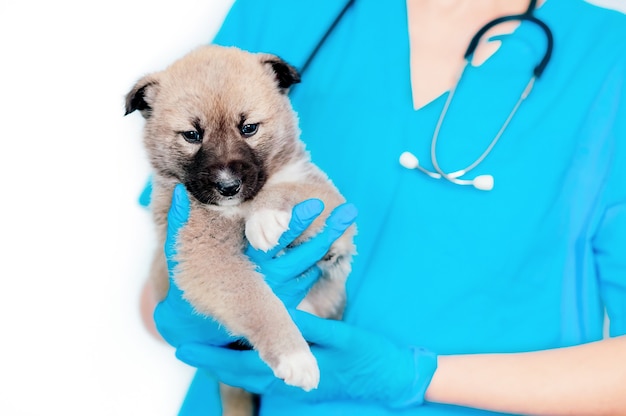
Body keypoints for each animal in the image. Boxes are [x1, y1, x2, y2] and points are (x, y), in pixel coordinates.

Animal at [125, 44, 356, 414]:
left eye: (248, 128)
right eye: (192, 135)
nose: (228, 187)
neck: (238, 208)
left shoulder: (327, 196)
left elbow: (288, 189)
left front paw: (266, 218)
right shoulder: (206, 256)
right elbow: (258, 302)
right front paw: (294, 355)